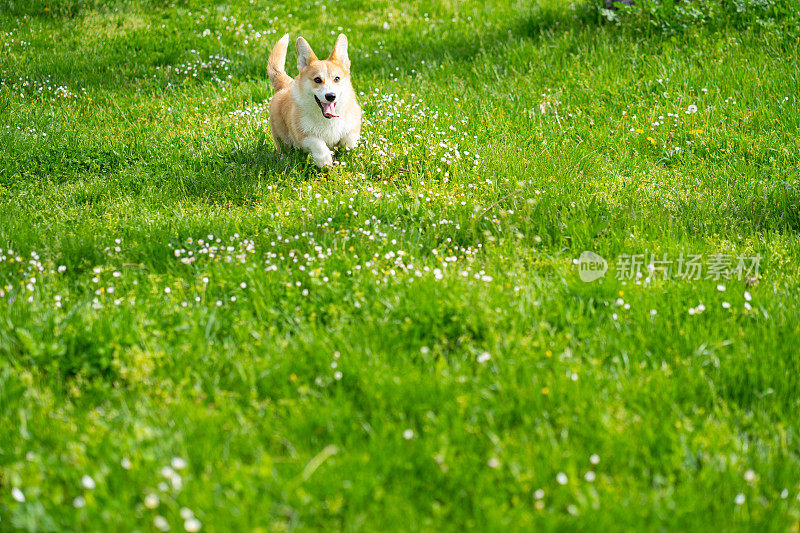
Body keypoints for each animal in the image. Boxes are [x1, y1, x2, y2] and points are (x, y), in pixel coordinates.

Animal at [268, 33, 360, 166]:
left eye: (337, 78)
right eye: (317, 79)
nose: (331, 96)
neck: (327, 120)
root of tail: (285, 84)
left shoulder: (353, 124)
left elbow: (349, 139)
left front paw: (345, 148)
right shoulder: (303, 135)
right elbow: (317, 142)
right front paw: (325, 161)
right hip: (281, 136)